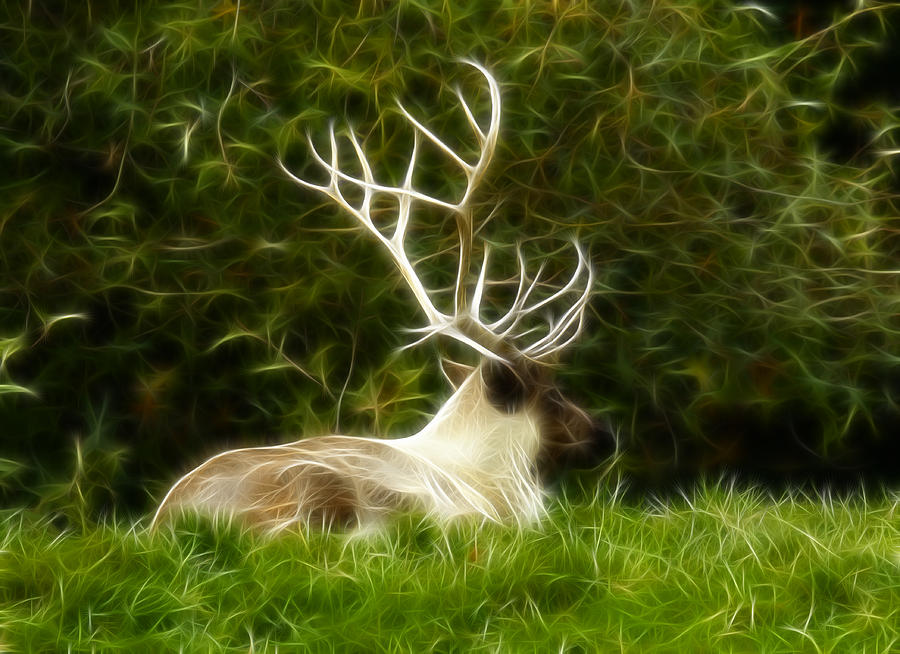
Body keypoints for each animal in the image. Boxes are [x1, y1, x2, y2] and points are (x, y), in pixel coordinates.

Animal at [153, 60, 612, 532]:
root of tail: (164, 521)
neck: (501, 480)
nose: (605, 436)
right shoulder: (480, 519)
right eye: (553, 394)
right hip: (314, 486)